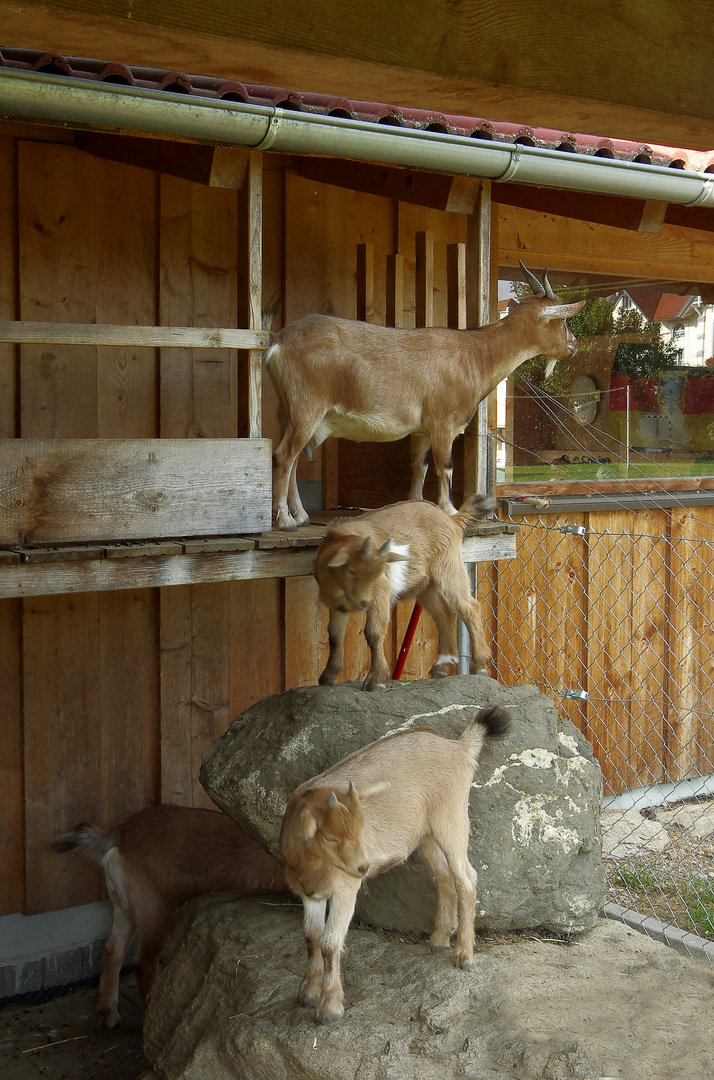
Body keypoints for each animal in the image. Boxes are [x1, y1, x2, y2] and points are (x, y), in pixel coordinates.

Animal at [51, 807, 287, 1023]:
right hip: (155, 910)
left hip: (123, 908)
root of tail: (120, 833)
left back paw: (108, 1012)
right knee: (143, 962)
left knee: (112, 952)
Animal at [264, 262, 583, 531]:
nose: (575, 344)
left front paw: (415, 505)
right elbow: (446, 466)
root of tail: (279, 341)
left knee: (293, 459)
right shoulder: (443, 422)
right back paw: (285, 521)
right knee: (283, 456)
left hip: (288, 411)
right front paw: (450, 510)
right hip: (307, 406)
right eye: (564, 322)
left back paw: (301, 516)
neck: (476, 356)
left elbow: (420, 466)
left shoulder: (422, 430)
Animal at [276, 704, 507, 1023]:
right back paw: (438, 940)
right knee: (444, 876)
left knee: (466, 877)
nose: (363, 867)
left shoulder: (345, 890)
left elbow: (330, 943)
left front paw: (329, 1007)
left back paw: (464, 955)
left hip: (451, 818)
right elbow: (311, 937)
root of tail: (458, 748)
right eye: (330, 837)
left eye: (359, 828)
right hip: (425, 836)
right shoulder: (311, 895)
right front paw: (308, 993)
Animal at [315, 492, 492, 686]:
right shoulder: (336, 605)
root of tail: (452, 520)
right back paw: (442, 666)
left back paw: (480, 665)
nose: (363, 602)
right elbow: (335, 635)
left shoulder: (381, 593)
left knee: (469, 607)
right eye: (351, 571)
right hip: (427, 586)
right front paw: (328, 676)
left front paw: (375, 680)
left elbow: (373, 632)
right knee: (442, 613)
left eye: (377, 573)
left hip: (448, 567)